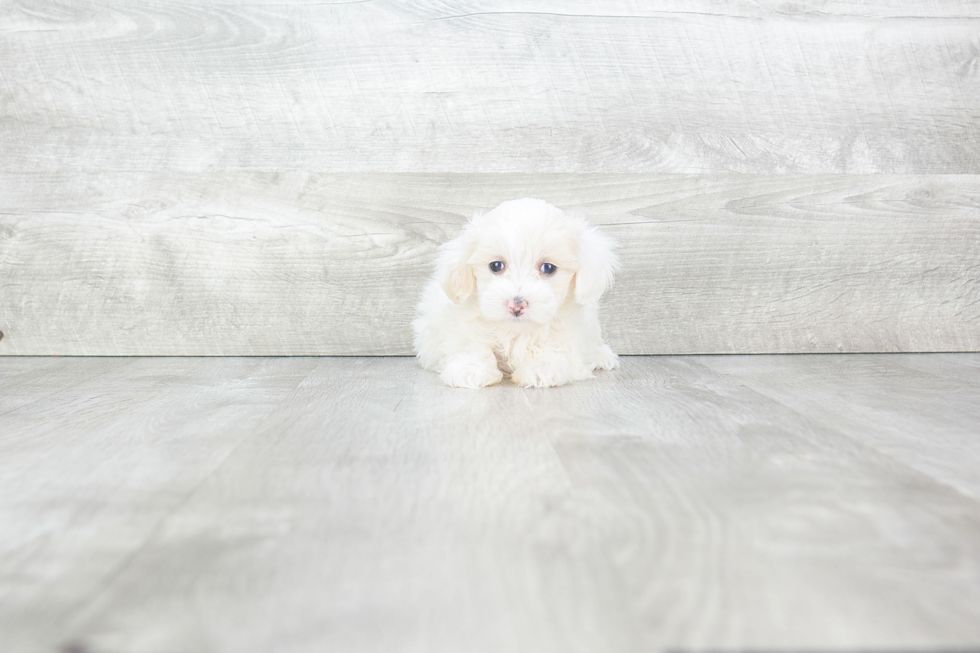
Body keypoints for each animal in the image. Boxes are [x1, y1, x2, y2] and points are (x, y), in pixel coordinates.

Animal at [414, 199, 620, 388]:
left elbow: (558, 349)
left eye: (548, 268)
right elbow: (473, 345)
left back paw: (602, 356)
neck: (516, 332)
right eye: (496, 265)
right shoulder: (463, 325)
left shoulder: (570, 333)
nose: (517, 304)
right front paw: (470, 369)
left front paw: (540, 369)